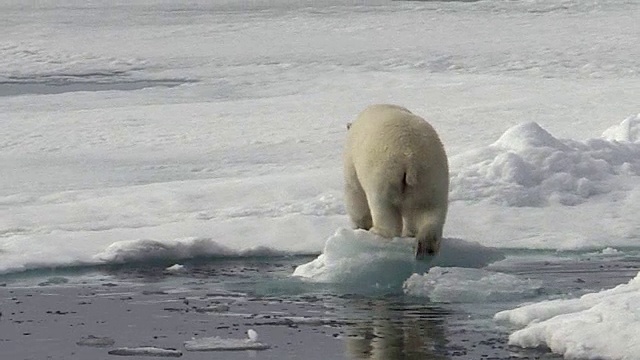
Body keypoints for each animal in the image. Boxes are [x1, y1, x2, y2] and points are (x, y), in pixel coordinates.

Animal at [342, 104, 448, 258]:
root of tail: (410, 158)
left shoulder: (352, 162)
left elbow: (355, 195)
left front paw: (360, 227)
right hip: (431, 178)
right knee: (429, 211)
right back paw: (425, 247)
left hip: (384, 176)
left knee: (384, 210)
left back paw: (377, 232)